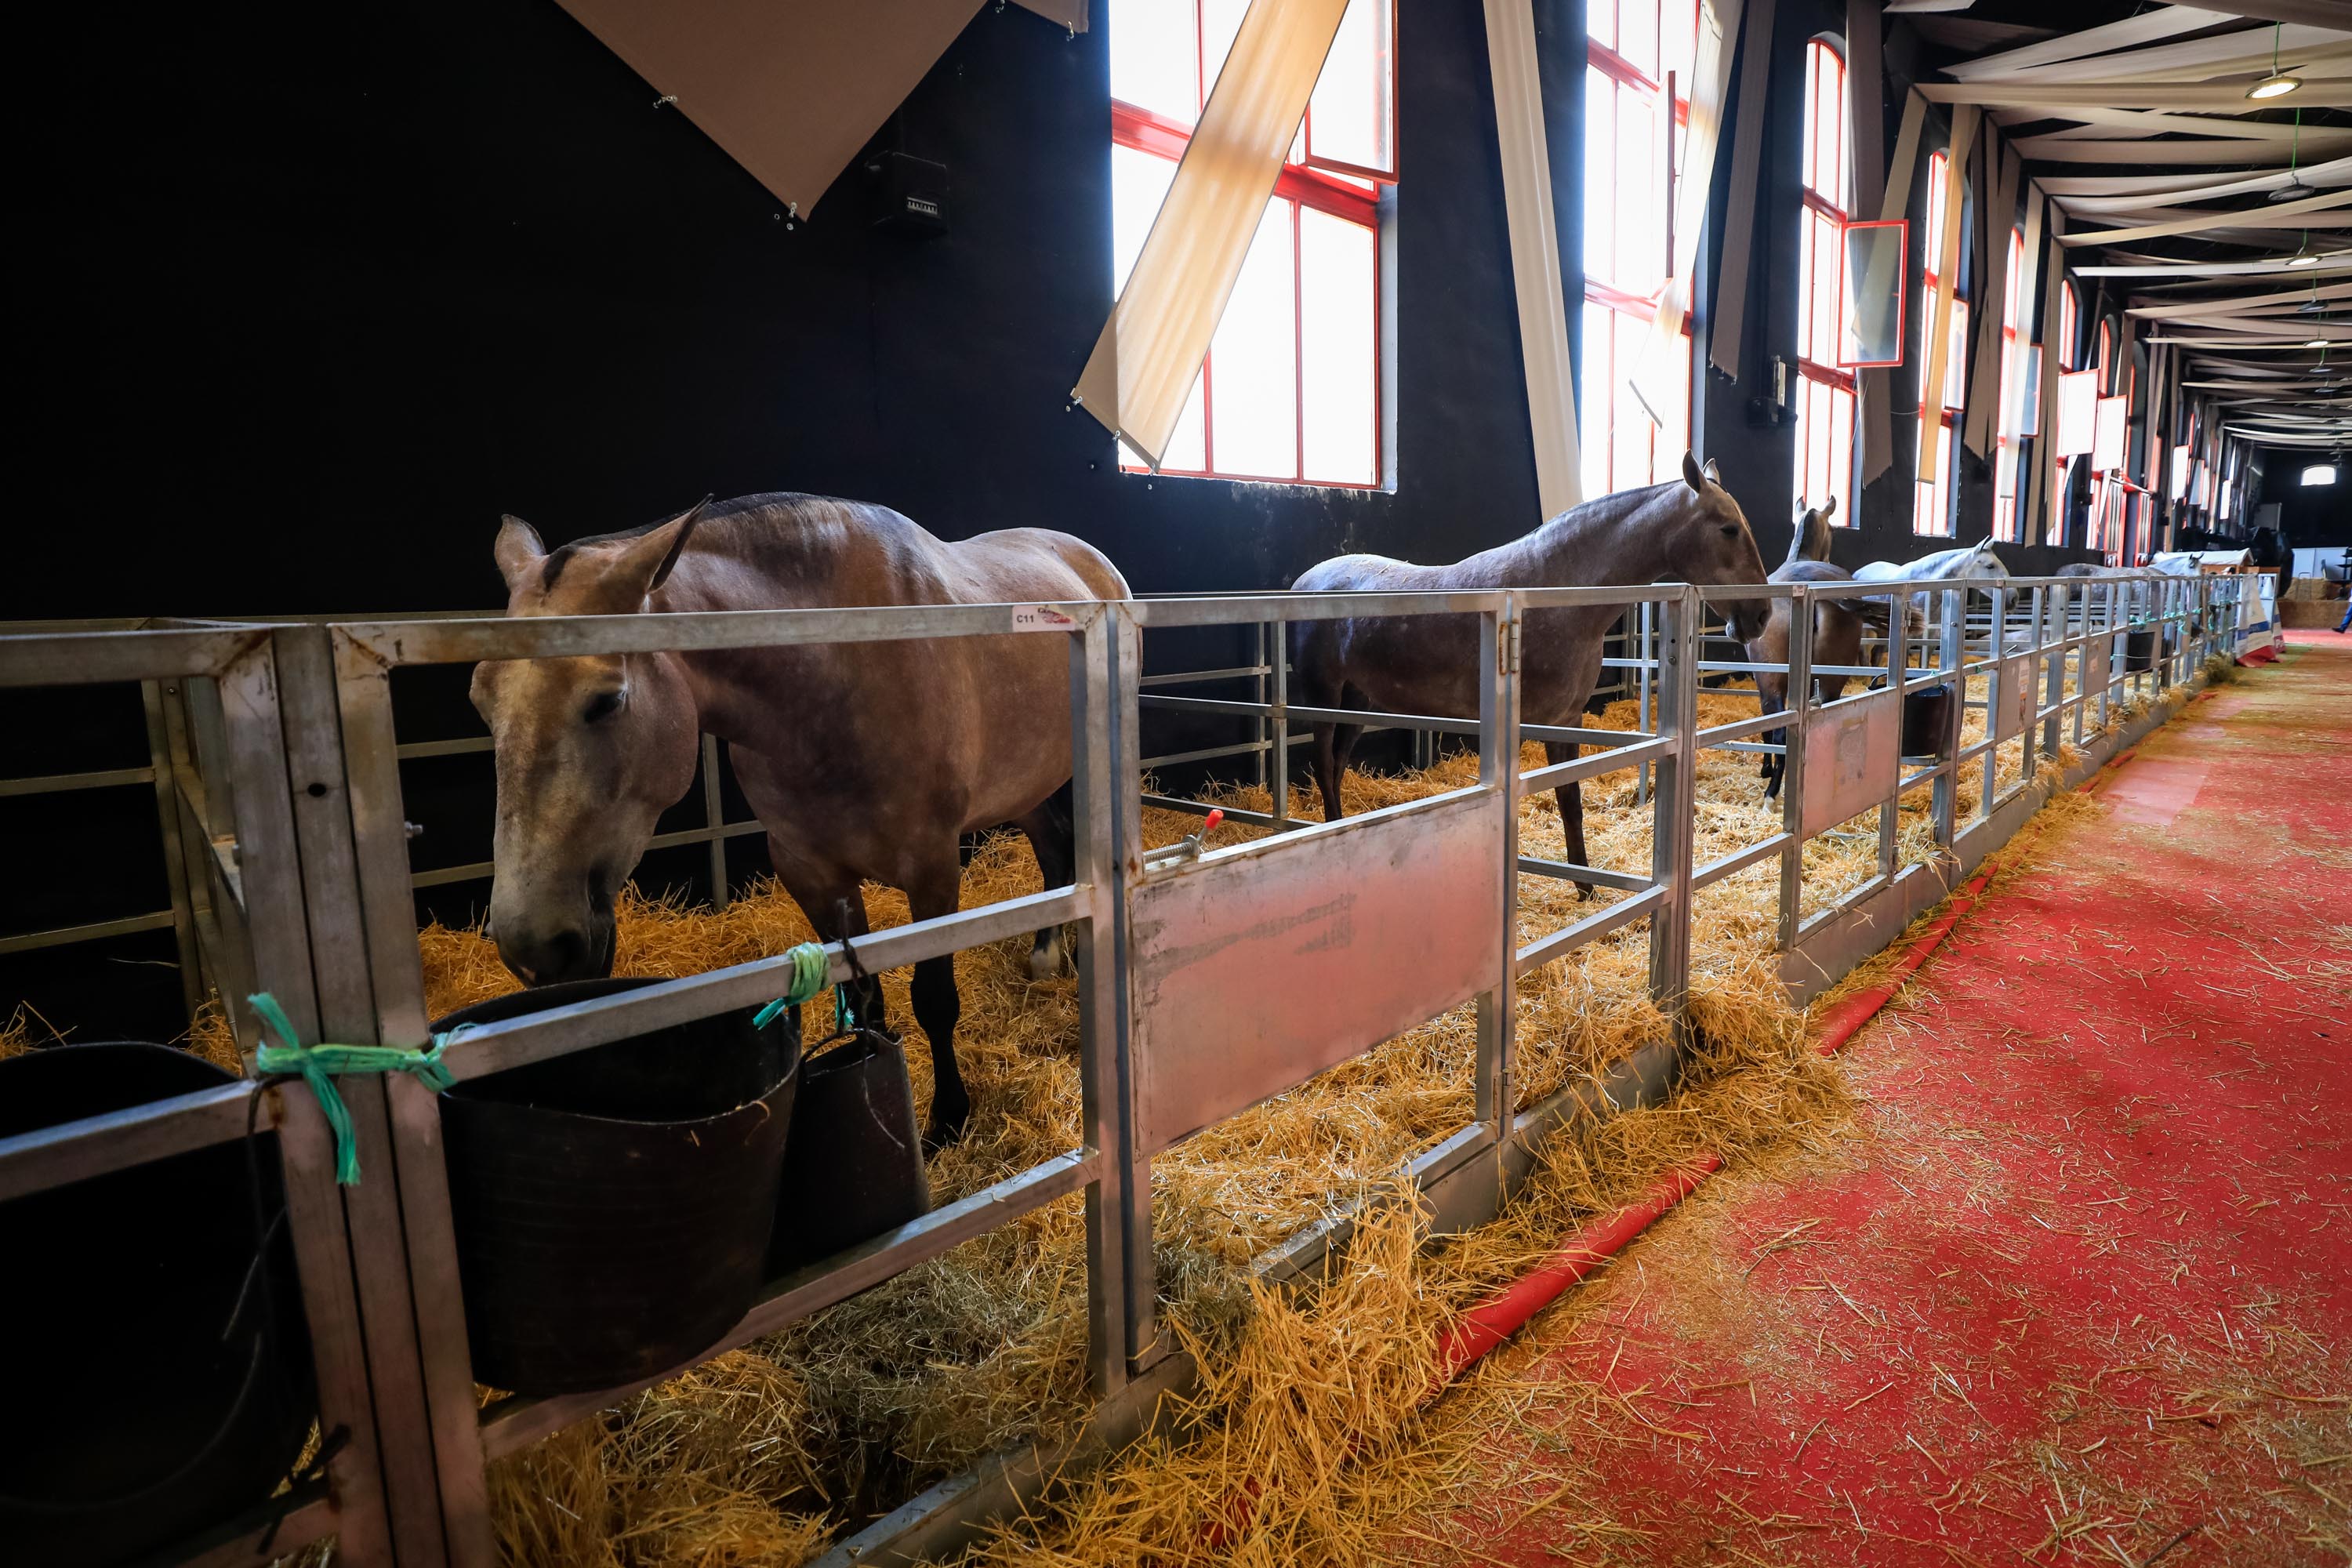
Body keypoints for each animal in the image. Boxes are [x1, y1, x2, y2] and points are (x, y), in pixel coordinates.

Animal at [468, 493, 1129, 1152]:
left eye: (607, 700)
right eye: (480, 698)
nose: (534, 946)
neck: (837, 666)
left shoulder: (933, 869)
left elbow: (934, 999)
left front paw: (947, 1119)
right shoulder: (811, 873)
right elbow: (865, 1000)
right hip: (1026, 780)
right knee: (1052, 847)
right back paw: (1046, 955)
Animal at [1289, 453, 1769, 893]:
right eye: (1729, 528)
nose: (1760, 615)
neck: (1554, 594)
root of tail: (1303, 583)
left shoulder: (1567, 720)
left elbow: (1571, 801)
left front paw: (1585, 886)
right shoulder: (1529, 725)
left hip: (1358, 701)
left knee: (1337, 764)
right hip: (1323, 696)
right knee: (1323, 763)